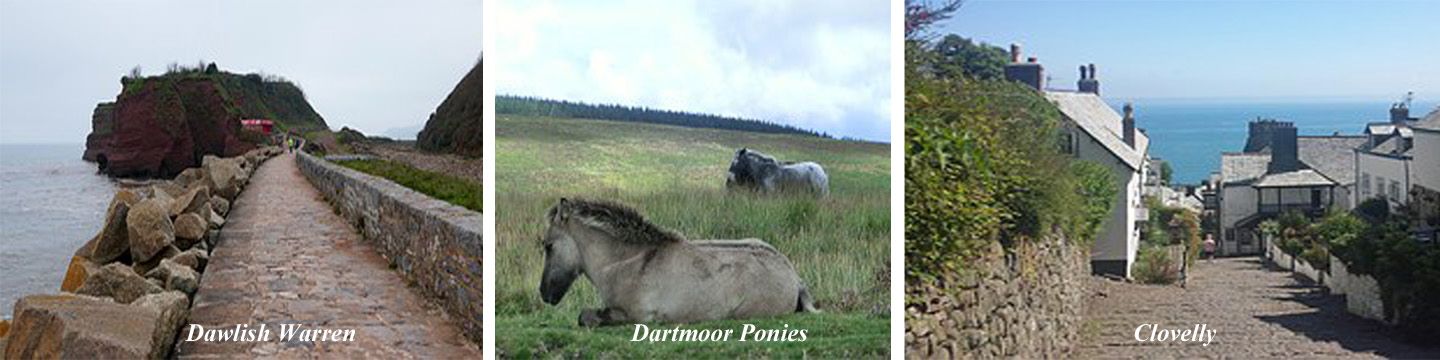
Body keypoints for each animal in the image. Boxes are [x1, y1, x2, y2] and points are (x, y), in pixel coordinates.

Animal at [538, 197, 817, 326]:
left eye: (549, 246)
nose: (544, 293)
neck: (626, 262)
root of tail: (794, 276)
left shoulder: (635, 315)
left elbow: (586, 316)